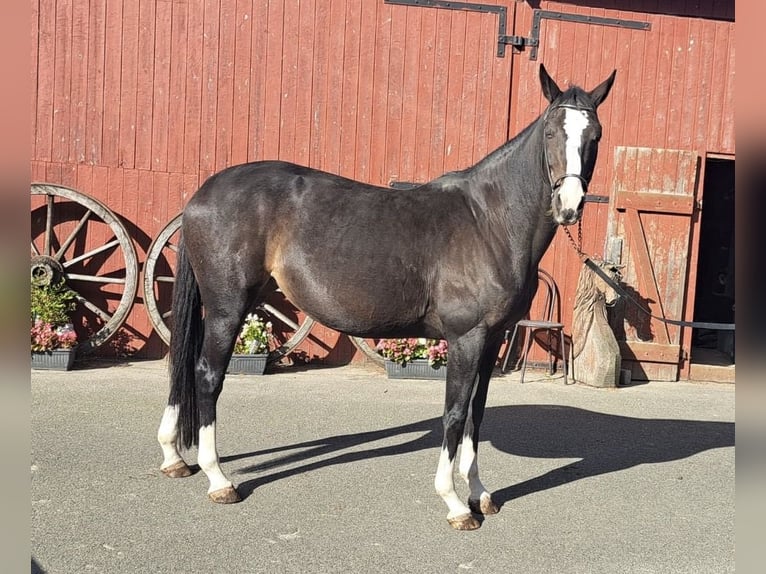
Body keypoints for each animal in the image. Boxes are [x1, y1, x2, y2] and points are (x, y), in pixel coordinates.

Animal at [157, 64, 616, 530]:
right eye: (551, 132)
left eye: (595, 135)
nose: (569, 205)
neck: (489, 221)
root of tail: (202, 194)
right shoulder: (466, 339)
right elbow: (454, 413)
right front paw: (454, 503)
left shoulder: (492, 341)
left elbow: (477, 412)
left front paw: (480, 494)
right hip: (227, 307)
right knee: (207, 375)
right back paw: (218, 479)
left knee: (185, 365)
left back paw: (175, 456)